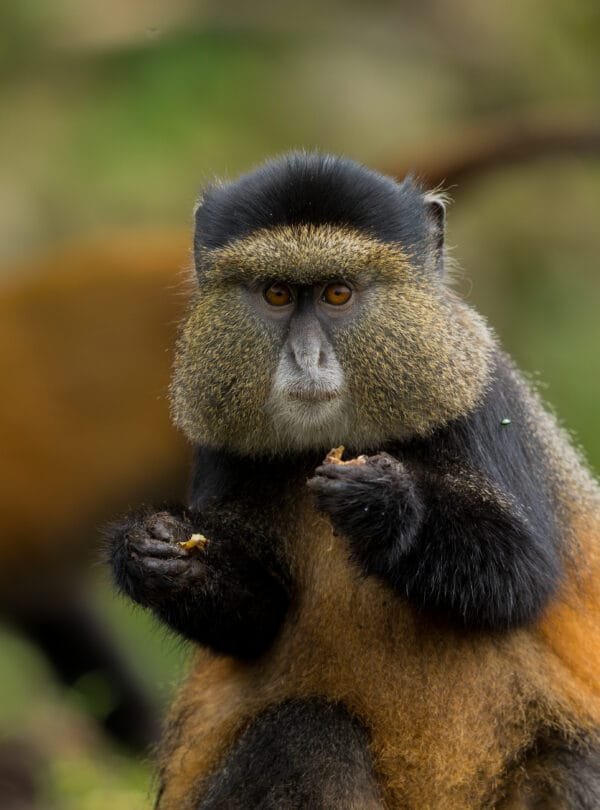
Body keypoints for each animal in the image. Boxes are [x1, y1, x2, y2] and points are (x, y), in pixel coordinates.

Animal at [107, 152, 600, 808]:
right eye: (277, 294)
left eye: (338, 293)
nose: (306, 358)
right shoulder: (220, 447)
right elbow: (255, 620)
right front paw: (156, 555)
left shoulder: (481, 401)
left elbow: (523, 577)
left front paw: (385, 505)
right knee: (306, 733)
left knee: (566, 764)